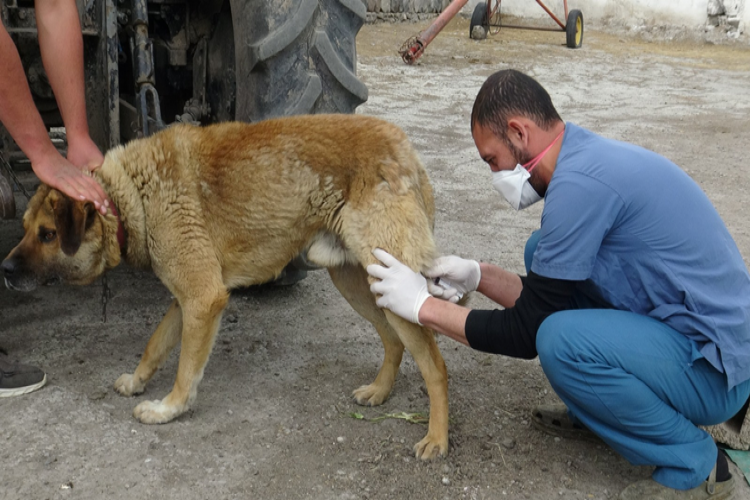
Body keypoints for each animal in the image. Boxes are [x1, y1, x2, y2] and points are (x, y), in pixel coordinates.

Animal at [1, 115, 452, 458]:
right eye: (24, 228)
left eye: (47, 235)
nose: (4, 269)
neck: (133, 194)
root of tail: (405, 148)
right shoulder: (185, 301)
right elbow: (155, 345)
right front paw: (136, 381)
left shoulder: (202, 300)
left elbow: (185, 370)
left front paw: (169, 409)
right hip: (361, 282)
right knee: (392, 341)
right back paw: (380, 391)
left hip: (389, 285)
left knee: (434, 365)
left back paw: (437, 438)